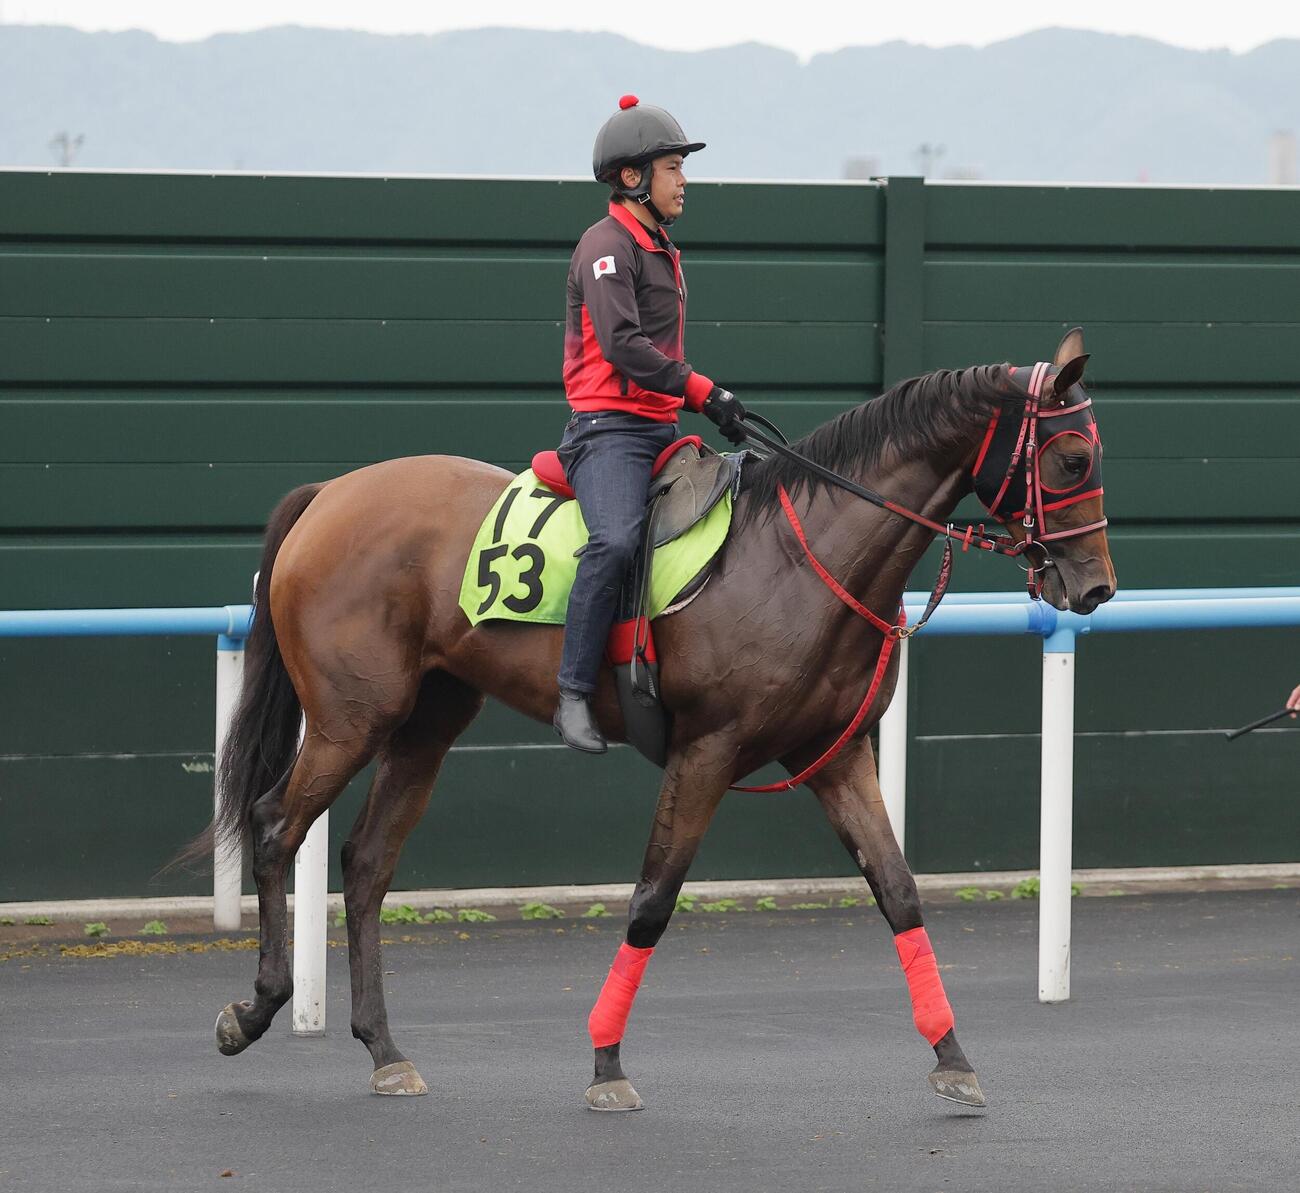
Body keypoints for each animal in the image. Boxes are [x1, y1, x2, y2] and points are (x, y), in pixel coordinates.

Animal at [193, 327, 1115, 1111]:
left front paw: (953, 1056)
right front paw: (606, 1064)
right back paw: (256, 1007)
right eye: (1072, 456)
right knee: (276, 826)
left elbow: (900, 893)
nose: (1096, 585)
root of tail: (330, 494)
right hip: (351, 718)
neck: (799, 557)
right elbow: (651, 901)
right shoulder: (706, 751)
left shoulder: (836, 755)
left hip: (426, 724)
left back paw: (385, 1050)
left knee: (367, 861)